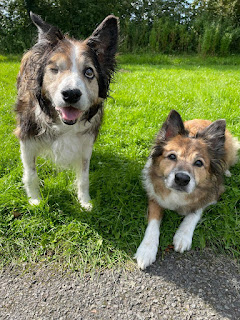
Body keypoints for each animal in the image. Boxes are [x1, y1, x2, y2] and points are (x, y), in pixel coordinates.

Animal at [14, 11, 118, 208]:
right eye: (54, 69)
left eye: (89, 72)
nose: (71, 94)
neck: (63, 124)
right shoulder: (27, 138)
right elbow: (31, 173)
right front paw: (35, 200)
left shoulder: (86, 142)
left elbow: (84, 176)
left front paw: (85, 202)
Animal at [134, 110, 239, 270]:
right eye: (172, 156)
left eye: (198, 163)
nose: (182, 179)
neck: (177, 194)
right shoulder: (153, 194)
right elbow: (153, 221)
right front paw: (146, 249)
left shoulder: (213, 193)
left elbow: (195, 212)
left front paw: (183, 235)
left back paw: (226, 171)